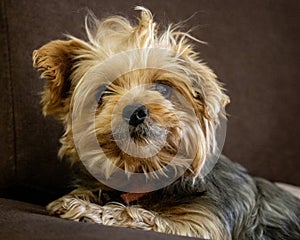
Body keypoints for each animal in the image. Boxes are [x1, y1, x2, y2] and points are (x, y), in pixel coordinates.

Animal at [32, 6, 300, 239]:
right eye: (103, 93)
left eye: (162, 87)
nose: (134, 111)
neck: (147, 174)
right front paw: (84, 196)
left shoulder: (202, 223)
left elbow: (142, 215)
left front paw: (88, 209)